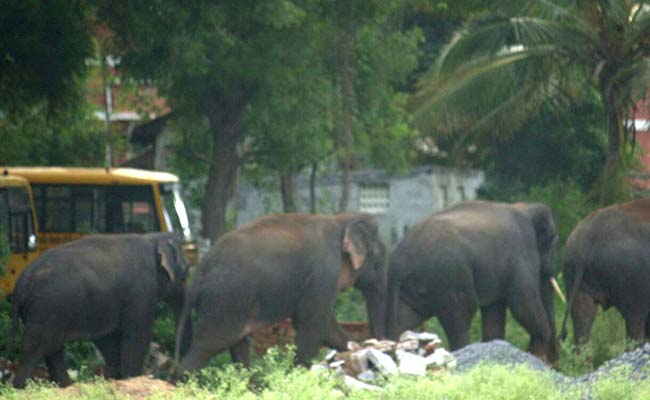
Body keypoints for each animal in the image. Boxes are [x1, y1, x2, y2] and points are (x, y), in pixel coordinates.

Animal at [6, 233, 187, 390]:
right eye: (186, 270)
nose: (174, 376)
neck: (152, 237)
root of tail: (21, 283)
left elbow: (108, 339)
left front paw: (116, 380)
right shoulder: (141, 292)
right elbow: (138, 336)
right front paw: (132, 379)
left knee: (52, 349)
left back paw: (66, 387)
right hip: (46, 308)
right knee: (34, 349)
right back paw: (19, 389)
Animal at [172, 214, 384, 374]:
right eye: (378, 260)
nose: (377, 342)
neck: (342, 219)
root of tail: (198, 273)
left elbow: (325, 328)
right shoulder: (323, 276)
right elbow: (313, 324)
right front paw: (298, 374)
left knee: (238, 345)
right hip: (225, 299)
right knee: (209, 345)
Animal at [384, 202, 560, 364]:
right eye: (552, 238)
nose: (553, 362)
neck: (525, 208)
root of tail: (397, 262)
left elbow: (494, 311)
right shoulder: (522, 253)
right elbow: (522, 305)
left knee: (406, 319)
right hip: (450, 278)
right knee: (461, 316)